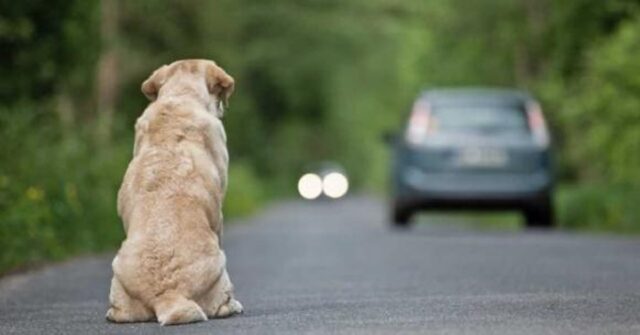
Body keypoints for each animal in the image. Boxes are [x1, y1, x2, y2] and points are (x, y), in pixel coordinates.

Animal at [107, 59, 242, 326]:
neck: (180, 96)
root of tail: (167, 294)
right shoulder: (219, 214)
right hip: (220, 264)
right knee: (220, 304)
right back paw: (233, 306)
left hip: (118, 271)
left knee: (119, 313)